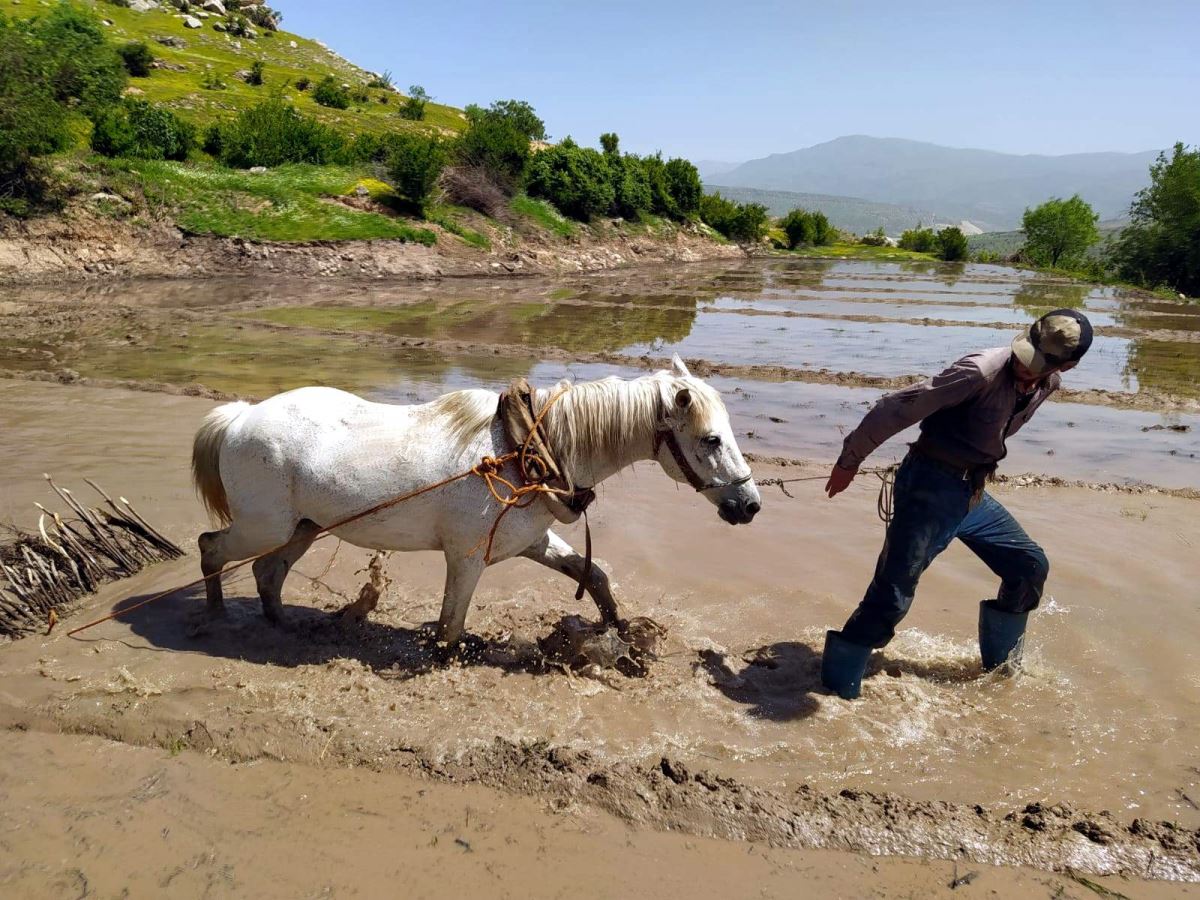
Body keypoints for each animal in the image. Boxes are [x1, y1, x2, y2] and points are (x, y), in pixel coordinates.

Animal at [193, 355, 763, 643]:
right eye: (711, 439)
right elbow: (450, 628)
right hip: (263, 527)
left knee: (267, 573)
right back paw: (216, 617)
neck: (523, 450)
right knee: (211, 547)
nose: (750, 505)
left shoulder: (532, 541)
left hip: (302, 529)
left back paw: (280, 624)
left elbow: (593, 574)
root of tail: (241, 415)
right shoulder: (467, 557)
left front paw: (616, 626)